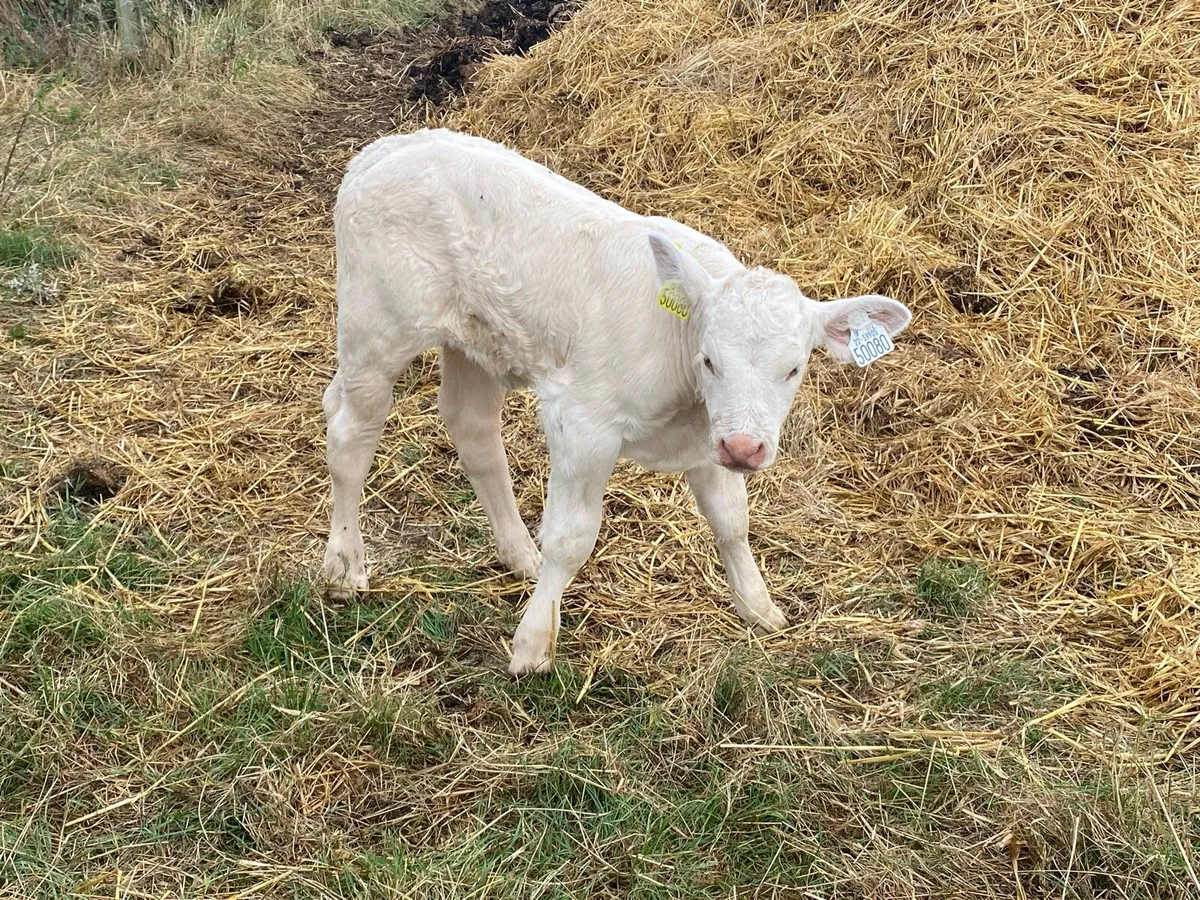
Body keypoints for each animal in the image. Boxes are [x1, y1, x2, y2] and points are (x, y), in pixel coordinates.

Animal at [321, 129, 911, 675]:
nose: (745, 449)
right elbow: (570, 537)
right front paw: (533, 646)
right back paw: (344, 568)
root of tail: (388, 148)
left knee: (472, 430)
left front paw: (759, 608)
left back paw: (519, 555)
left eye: (794, 368)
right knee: (350, 433)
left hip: (473, 340)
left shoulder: (708, 440)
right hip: (377, 326)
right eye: (709, 360)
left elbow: (731, 521)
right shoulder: (583, 424)